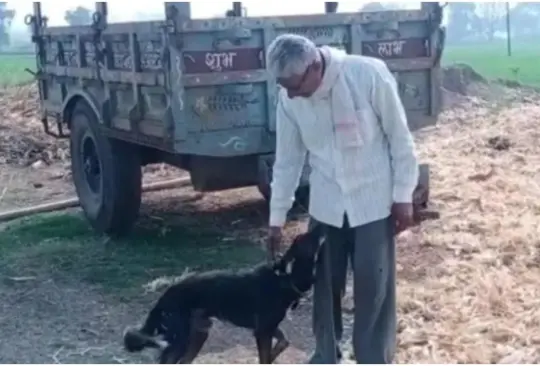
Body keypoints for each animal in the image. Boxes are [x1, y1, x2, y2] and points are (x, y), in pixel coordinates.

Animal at [124, 227, 322, 364]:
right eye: (306, 238)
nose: (320, 226)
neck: (284, 278)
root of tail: (164, 298)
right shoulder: (262, 330)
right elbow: (265, 357)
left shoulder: (269, 327)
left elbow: (283, 342)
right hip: (180, 338)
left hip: (198, 334)